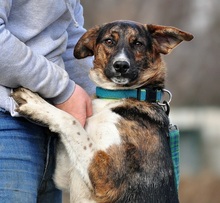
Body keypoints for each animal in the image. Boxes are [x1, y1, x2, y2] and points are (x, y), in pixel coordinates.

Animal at [12, 21, 192, 203]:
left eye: (138, 44)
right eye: (109, 41)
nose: (121, 65)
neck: (115, 96)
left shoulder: (105, 177)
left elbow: (71, 122)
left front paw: (36, 104)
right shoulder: (64, 174)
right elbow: (73, 127)